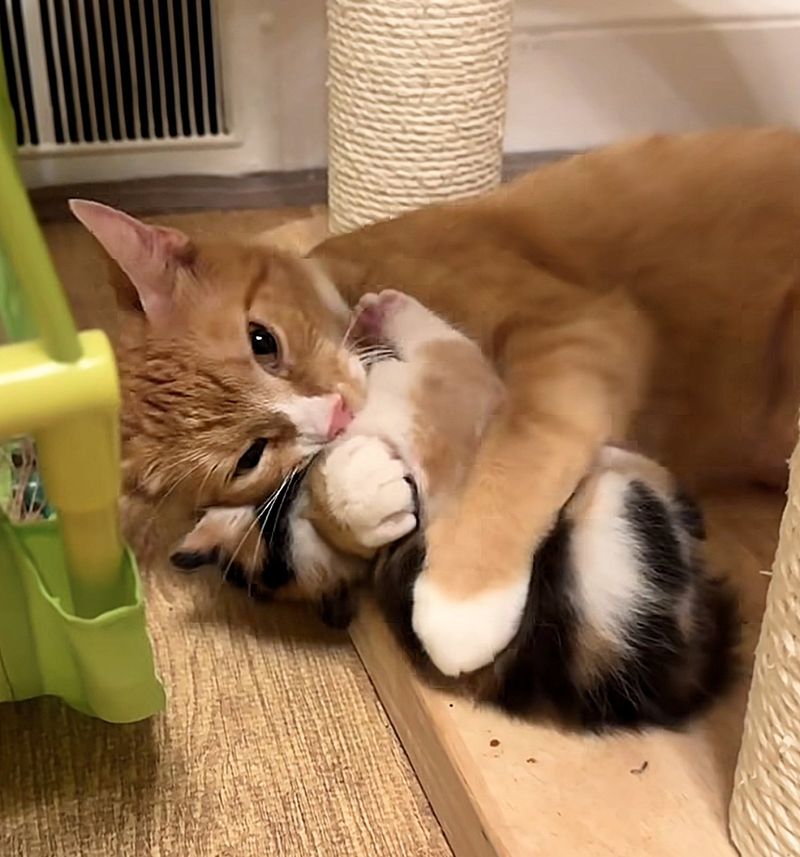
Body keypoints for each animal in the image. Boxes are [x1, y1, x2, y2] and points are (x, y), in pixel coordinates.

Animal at [73, 129, 800, 676]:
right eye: (249, 456)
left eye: (262, 341)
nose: (333, 415)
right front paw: (355, 494)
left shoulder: (579, 328)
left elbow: (521, 446)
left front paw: (460, 601)